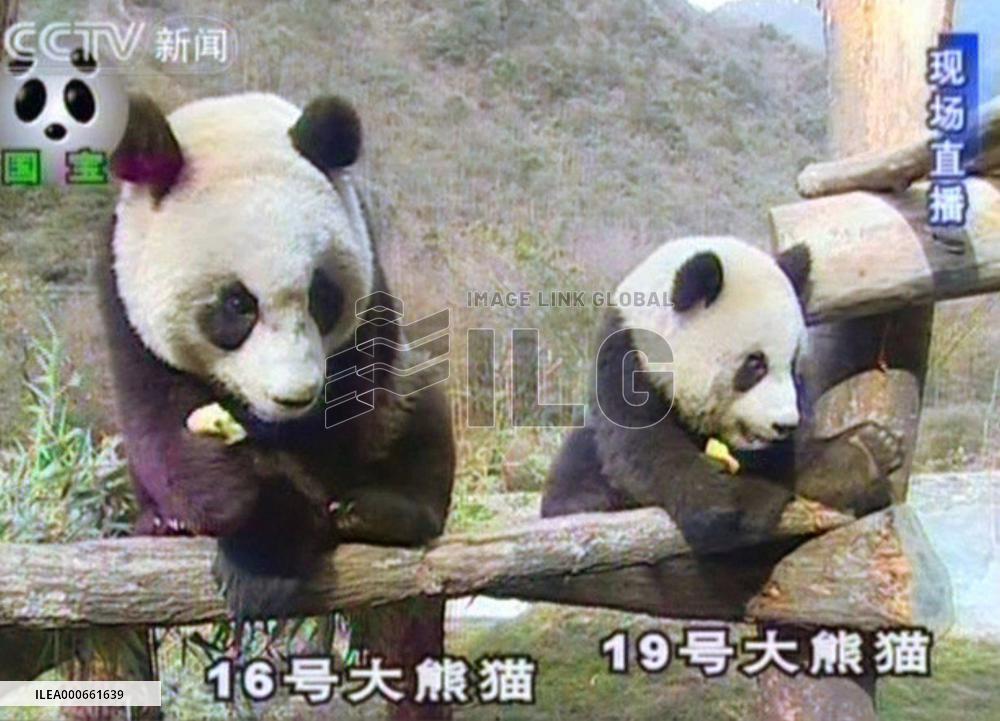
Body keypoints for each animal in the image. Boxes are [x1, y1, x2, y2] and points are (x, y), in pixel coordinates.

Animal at [99, 93, 455, 624]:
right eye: (237, 304)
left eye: (321, 296)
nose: (294, 396)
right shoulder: (126, 315)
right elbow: (167, 431)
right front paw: (268, 546)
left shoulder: (370, 286)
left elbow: (352, 413)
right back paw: (165, 524)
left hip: (409, 389)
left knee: (419, 404)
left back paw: (382, 512)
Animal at [542, 236, 904, 550]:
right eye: (755, 364)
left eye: (793, 364)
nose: (784, 424)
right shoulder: (626, 366)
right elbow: (644, 454)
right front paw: (733, 502)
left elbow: (794, 455)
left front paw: (861, 455)